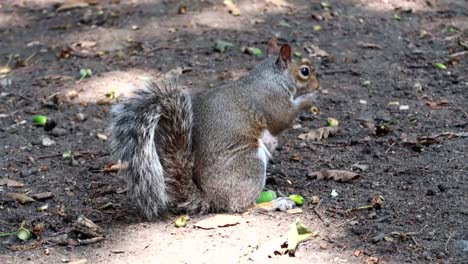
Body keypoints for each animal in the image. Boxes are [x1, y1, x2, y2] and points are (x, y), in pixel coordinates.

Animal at [110, 37, 322, 219]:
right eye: (305, 71)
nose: (318, 86)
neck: (272, 75)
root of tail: (212, 198)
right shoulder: (272, 100)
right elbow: (283, 118)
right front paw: (309, 99)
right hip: (250, 163)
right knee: (243, 206)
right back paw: (274, 203)